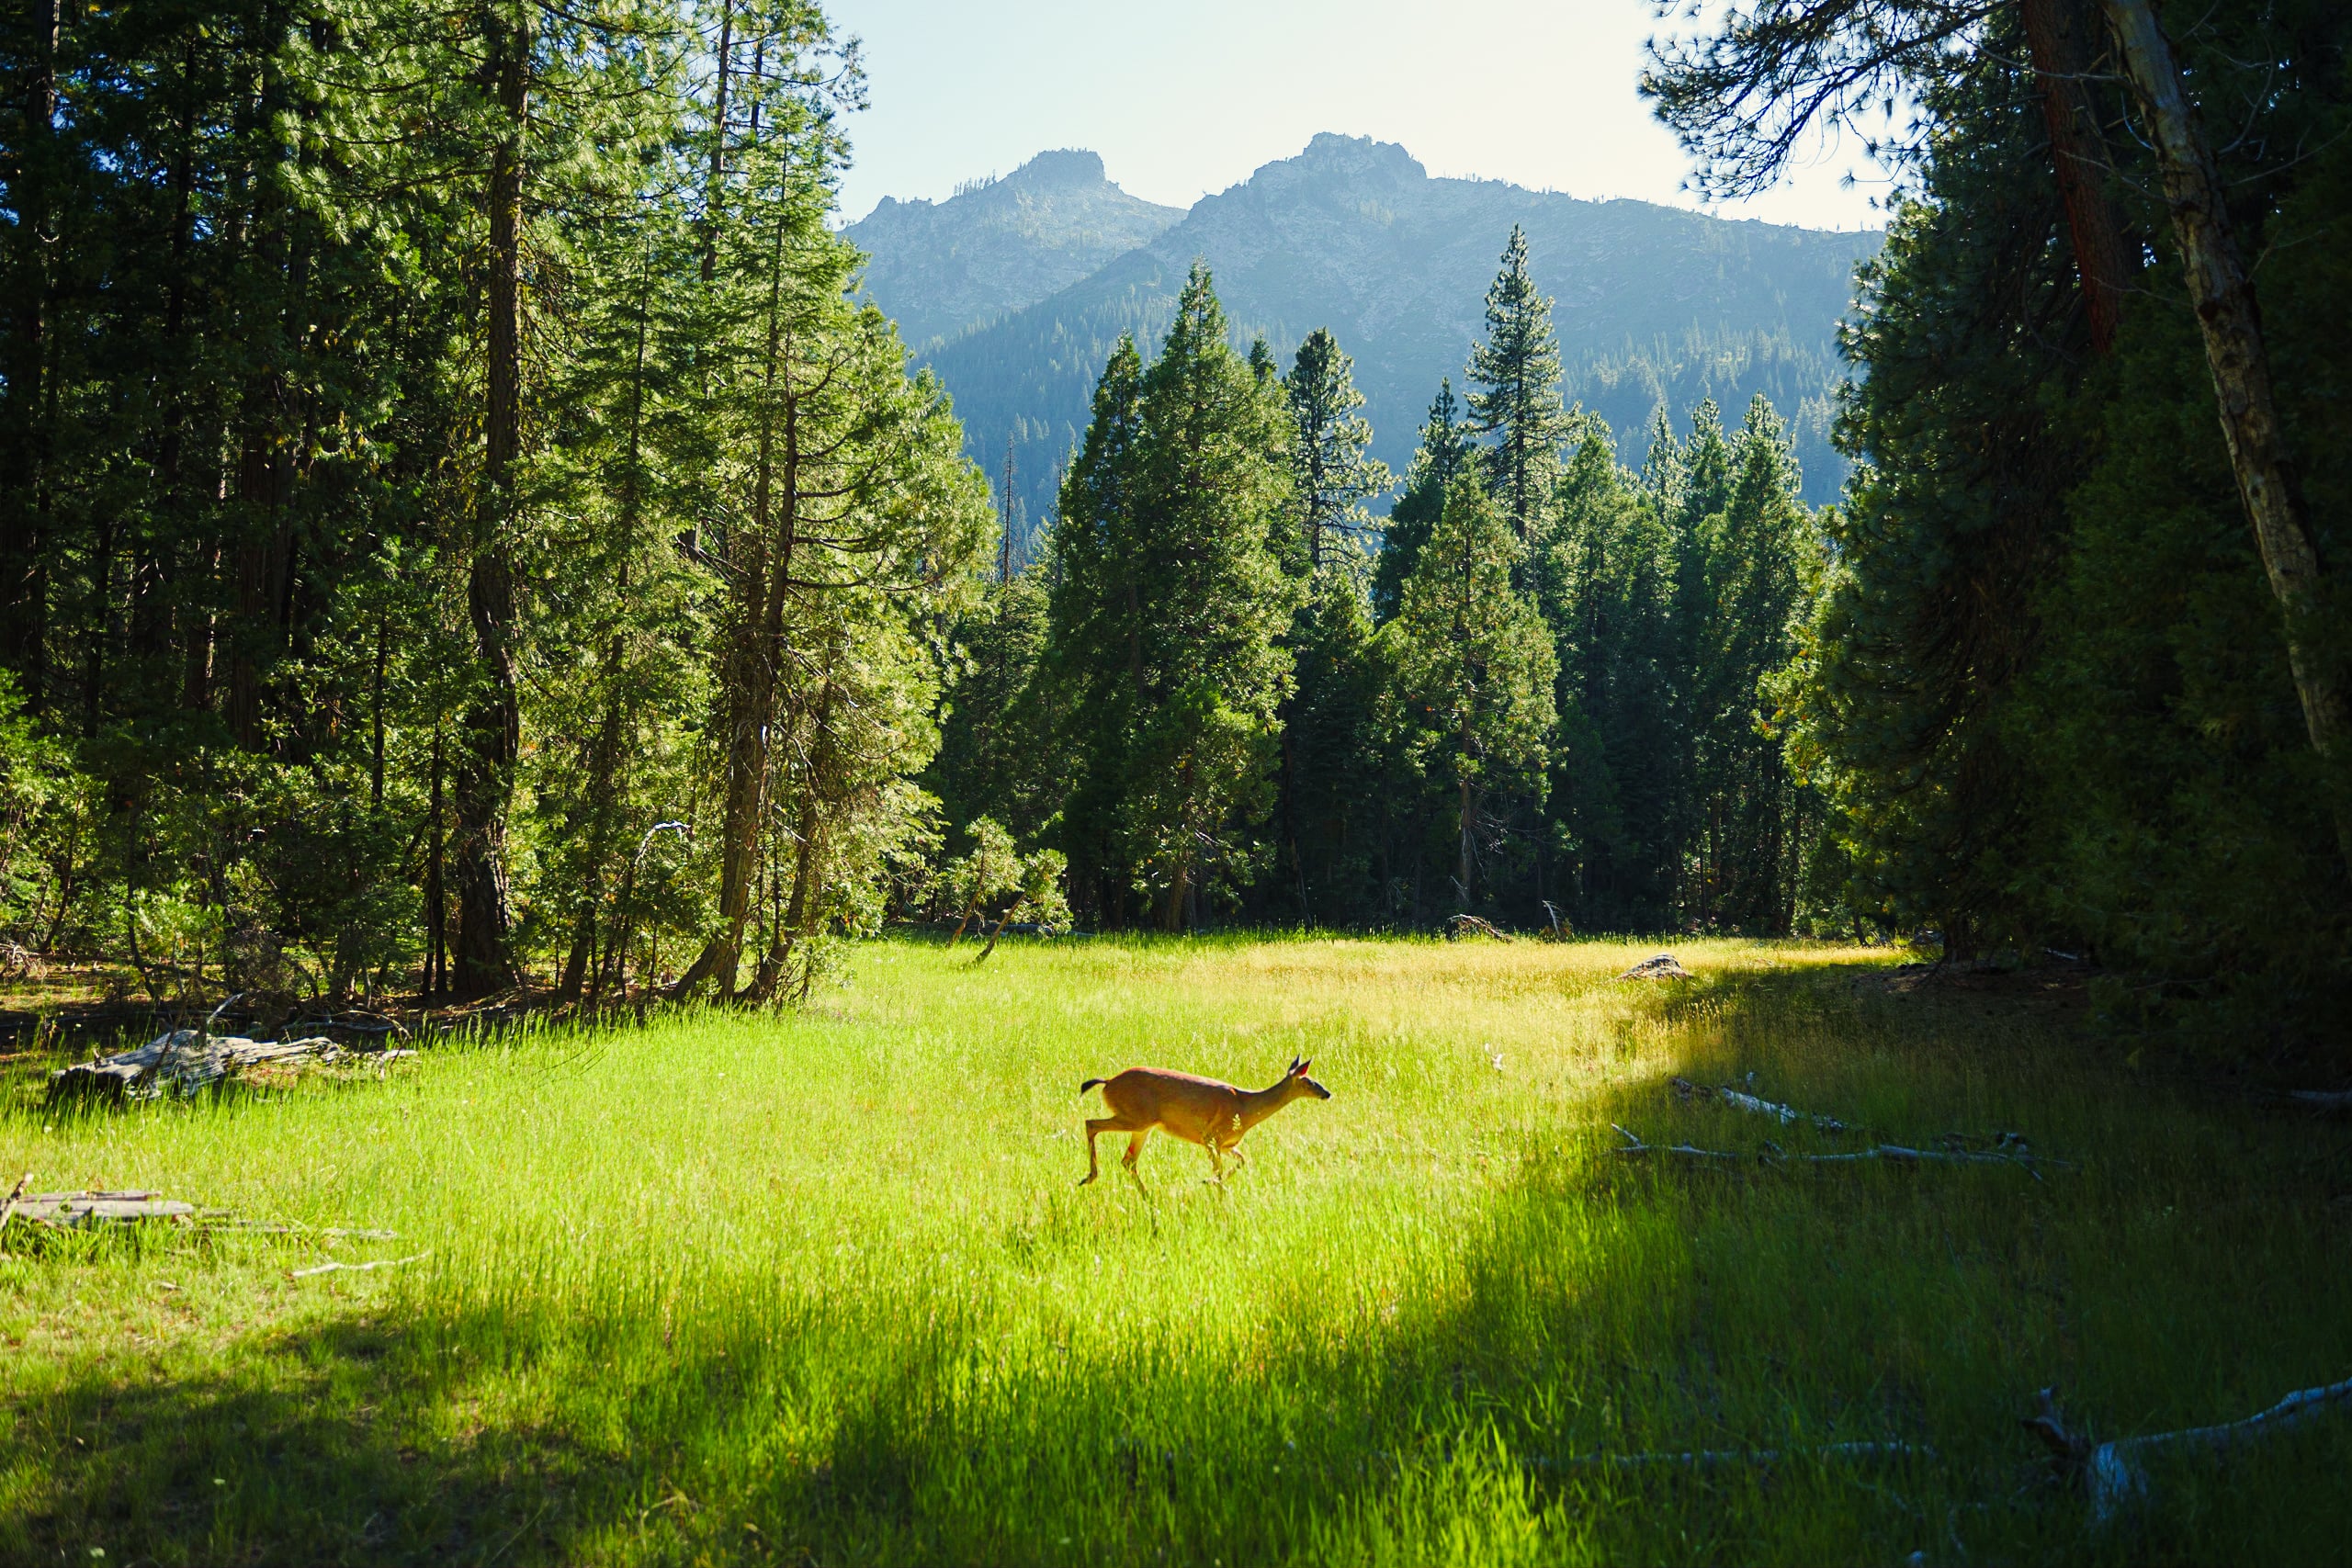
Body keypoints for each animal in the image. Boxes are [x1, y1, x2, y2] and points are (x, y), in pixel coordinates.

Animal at [1076, 1056, 1331, 1193]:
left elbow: (1243, 1161)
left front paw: (1208, 1182)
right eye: (1309, 1081)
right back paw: (1090, 1177)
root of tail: (1108, 1083)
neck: (1246, 1107)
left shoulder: (1227, 1145)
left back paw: (1148, 1198)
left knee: (1128, 1161)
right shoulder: (1211, 1138)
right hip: (1135, 1117)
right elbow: (1219, 1170)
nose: (1327, 1093)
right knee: (1091, 1124)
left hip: (1142, 1126)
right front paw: (1216, 1193)